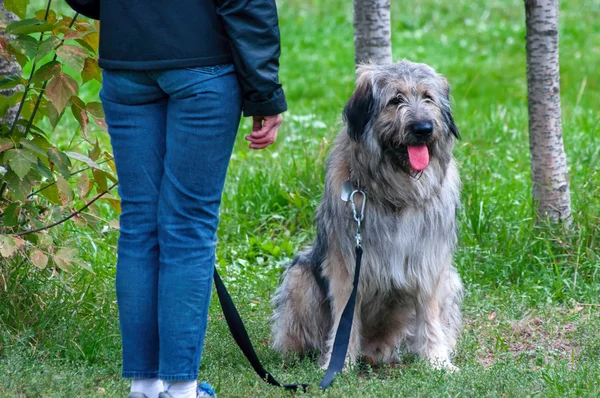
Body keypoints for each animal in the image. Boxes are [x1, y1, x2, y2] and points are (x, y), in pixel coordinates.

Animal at [272, 60, 464, 372]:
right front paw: (338, 365)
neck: (397, 194)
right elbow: (344, 321)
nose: (423, 128)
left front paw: (437, 361)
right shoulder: (346, 268)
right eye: (395, 100)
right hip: (300, 276)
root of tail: (373, 349)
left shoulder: (430, 264)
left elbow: (429, 316)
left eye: (428, 98)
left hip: (451, 280)